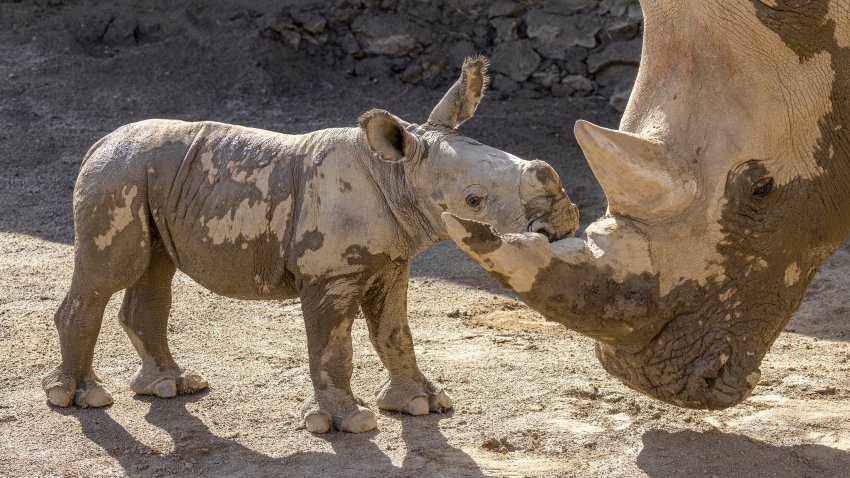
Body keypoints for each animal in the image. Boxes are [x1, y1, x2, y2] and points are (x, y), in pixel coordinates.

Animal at [44, 57, 576, 434]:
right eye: (474, 200)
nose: (563, 220)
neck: (398, 172)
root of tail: (97, 143)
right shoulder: (330, 273)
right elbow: (332, 345)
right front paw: (350, 422)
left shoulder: (391, 261)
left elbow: (395, 332)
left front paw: (422, 404)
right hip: (117, 176)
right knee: (109, 275)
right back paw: (79, 399)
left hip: (148, 177)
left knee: (154, 268)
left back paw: (171, 386)